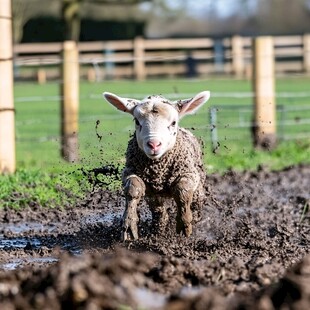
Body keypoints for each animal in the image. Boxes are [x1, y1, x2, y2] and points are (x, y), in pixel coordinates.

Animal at [103, 91, 209, 241]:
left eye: (173, 122)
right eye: (137, 121)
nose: (153, 144)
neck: (158, 171)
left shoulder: (188, 173)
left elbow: (182, 191)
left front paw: (184, 223)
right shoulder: (130, 172)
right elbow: (133, 188)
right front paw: (129, 224)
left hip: (198, 184)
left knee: (196, 202)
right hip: (155, 194)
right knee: (159, 212)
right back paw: (157, 231)